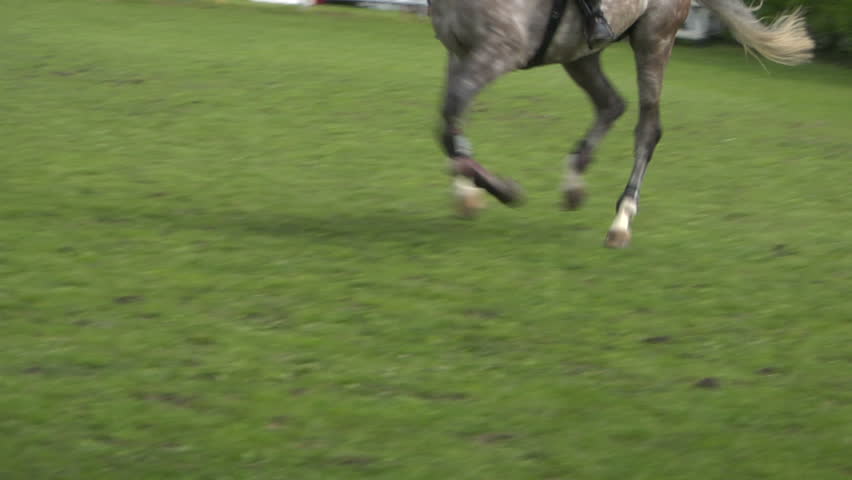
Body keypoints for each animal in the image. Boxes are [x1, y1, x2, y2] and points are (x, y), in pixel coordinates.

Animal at [430, 0, 814, 248]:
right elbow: (449, 124)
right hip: (580, 52)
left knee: (647, 130)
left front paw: (502, 190)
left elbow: (451, 117)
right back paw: (574, 182)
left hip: (654, 40)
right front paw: (469, 193)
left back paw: (621, 222)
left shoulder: (500, 50)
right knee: (611, 104)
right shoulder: (459, 52)